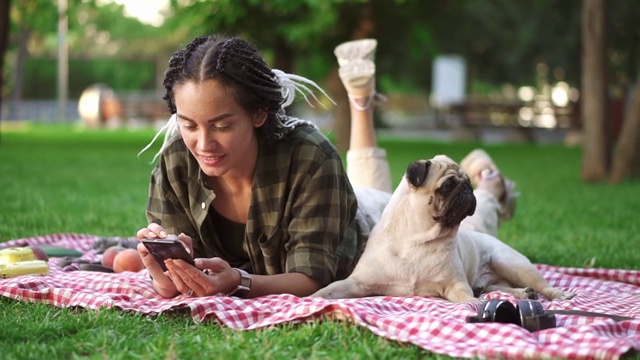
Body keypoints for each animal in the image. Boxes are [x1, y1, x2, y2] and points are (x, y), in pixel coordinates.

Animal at [316, 155, 576, 304]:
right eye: (448, 185)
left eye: (468, 182)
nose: (468, 190)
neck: (416, 239)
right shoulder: (358, 283)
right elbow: (330, 290)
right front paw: (312, 298)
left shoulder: (454, 284)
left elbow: (466, 297)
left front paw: (475, 306)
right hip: (495, 279)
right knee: (497, 289)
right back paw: (524, 294)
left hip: (512, 263)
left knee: (542, 286)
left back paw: (556, 294)